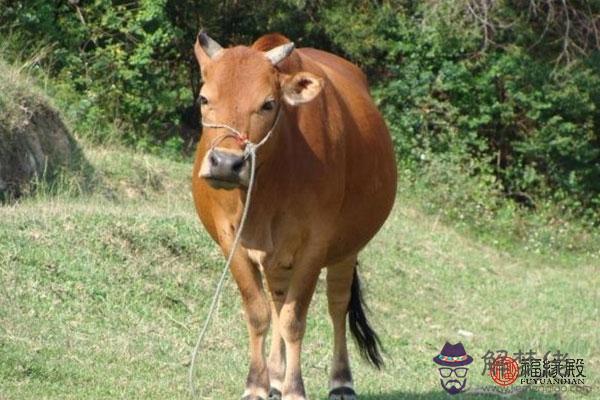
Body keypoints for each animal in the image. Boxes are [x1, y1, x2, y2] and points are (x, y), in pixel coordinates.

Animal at [192, 32, 398, 400]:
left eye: (268, 103)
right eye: (204, 98)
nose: (226, 164)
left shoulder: (315, 245)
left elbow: (294, 319)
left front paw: (294, 388)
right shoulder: (231, 239)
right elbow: (259, 312)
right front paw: (257, 384)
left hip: (347, 250)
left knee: (337, 304)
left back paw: (340, 381)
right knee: (276, 300)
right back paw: (275, 375)